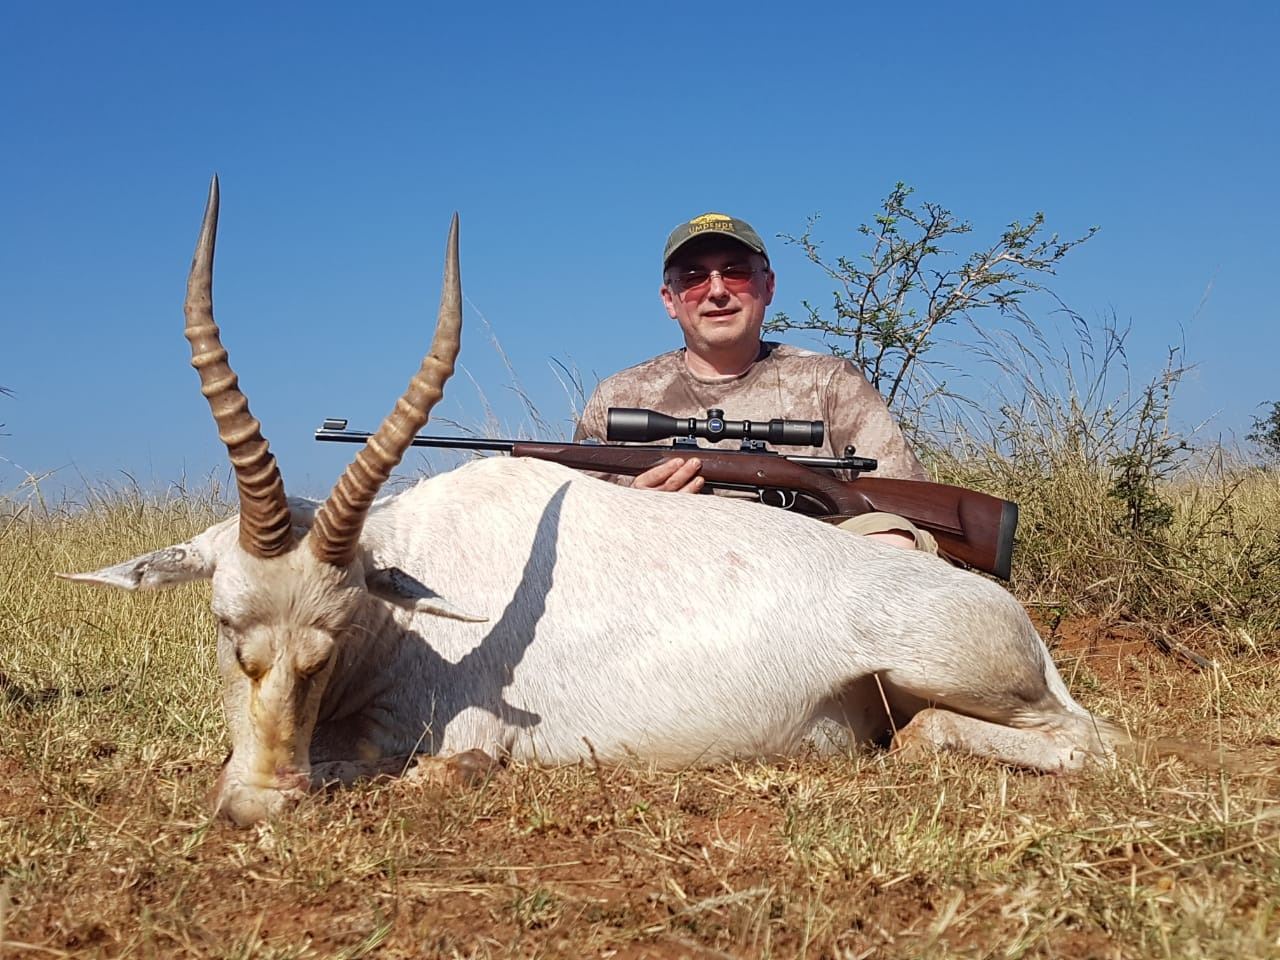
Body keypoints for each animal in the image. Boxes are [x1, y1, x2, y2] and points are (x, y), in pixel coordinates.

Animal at [63, 179, 1212, 826]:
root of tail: (1011, 614)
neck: (412, 610)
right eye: (226, 624)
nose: (262, 803)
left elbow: (427, 768)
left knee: (1077, 740)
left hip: (961, 677)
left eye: (334, 633)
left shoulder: (439, 735)